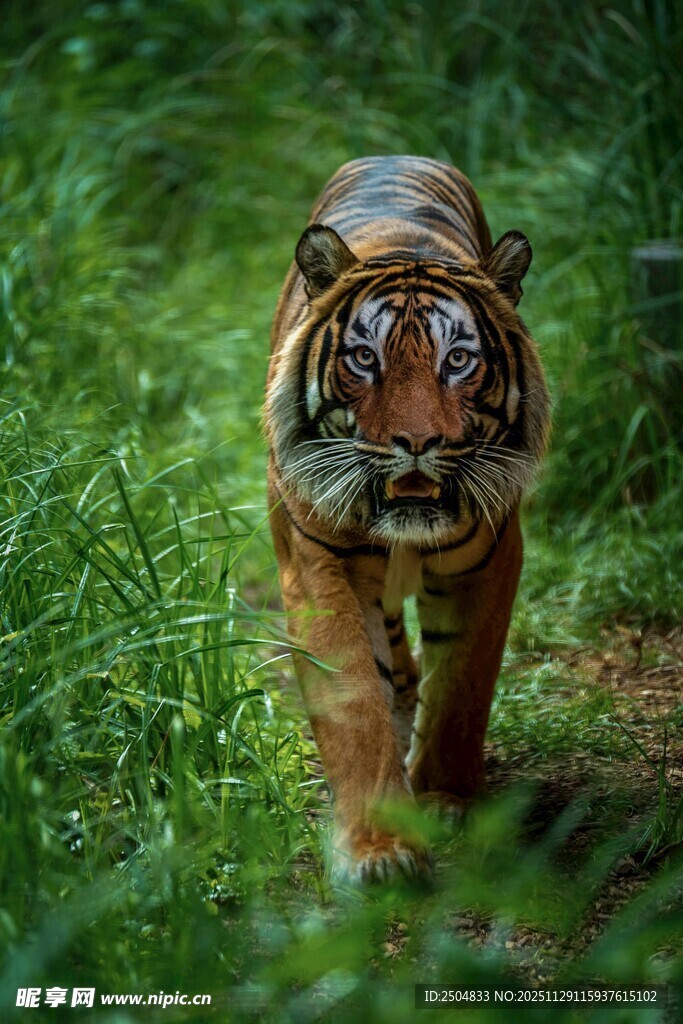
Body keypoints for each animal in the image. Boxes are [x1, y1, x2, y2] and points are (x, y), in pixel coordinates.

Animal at [265, 155, 550, 883]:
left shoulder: (492, 561)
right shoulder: (316, 568)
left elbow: (462, 687)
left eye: (458, 360)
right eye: (365, 357)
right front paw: (380, 848)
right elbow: (354, 704)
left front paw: (447, 801)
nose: (417, 442)